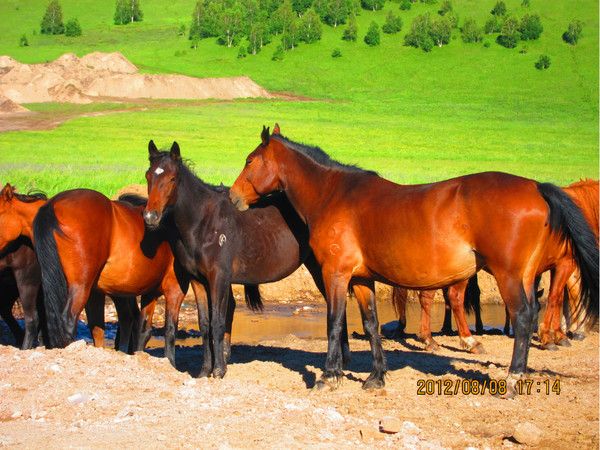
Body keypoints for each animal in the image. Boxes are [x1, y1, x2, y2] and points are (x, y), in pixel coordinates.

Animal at [142, 141, 352, 380]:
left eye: (172, 178)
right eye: (148, 175)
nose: (150, 217)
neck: (203, 223)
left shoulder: (219, 279)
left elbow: (218, 322)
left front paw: (219, 370)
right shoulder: (198, 281)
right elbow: (205, 324)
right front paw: (204, 371)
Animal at [229, 125, 596, 394]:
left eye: (250, 160)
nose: (232, 196)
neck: (334, 195)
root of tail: (535, 186)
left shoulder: (336, 274)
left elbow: (334, 322)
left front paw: (329, 376)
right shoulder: (361, 278)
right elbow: (371, 324)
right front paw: (376, 377)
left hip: (508, 275)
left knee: (522, 317)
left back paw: (512, 378)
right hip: (526, 274)